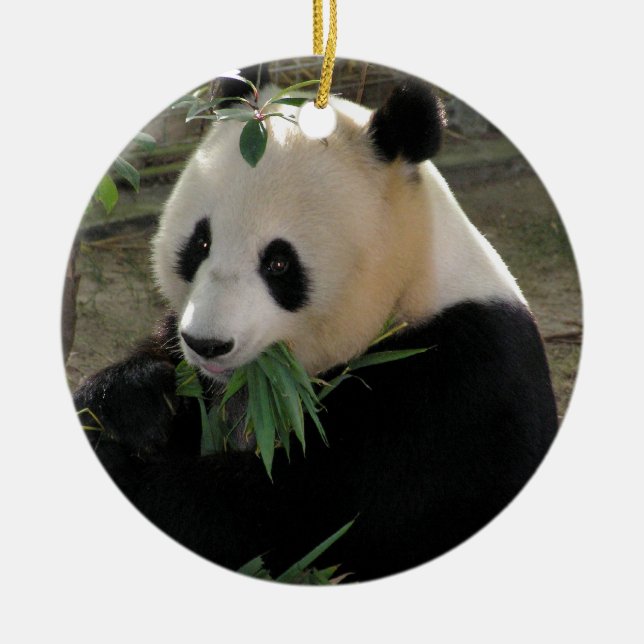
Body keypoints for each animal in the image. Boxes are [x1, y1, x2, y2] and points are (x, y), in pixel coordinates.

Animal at [74, 79, 558, 582]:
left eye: (279, 263)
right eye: (200, 243)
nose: (208, 344)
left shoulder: (454, 386)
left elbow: (301, 514)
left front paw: (129, 472)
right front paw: (135, 403)